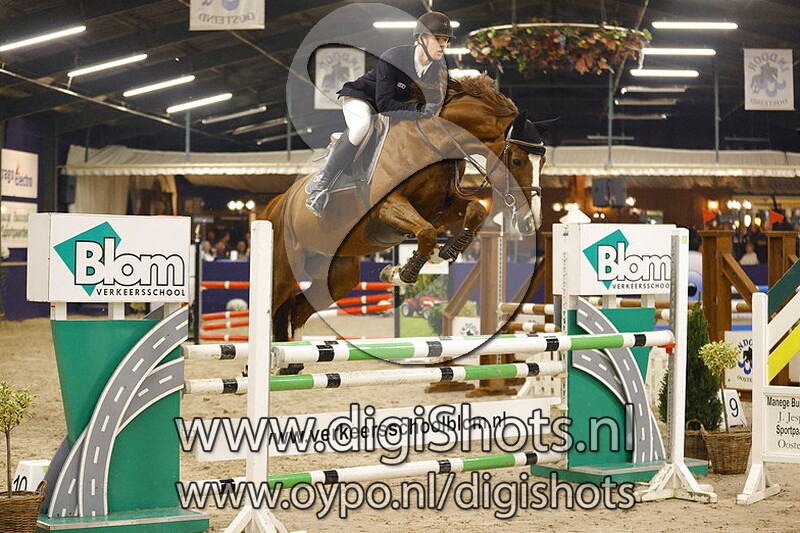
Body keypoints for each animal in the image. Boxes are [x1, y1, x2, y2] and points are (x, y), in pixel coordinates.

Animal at [259, 75, 547, 346]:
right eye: (517, 160)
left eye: (542, 162)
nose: (531, 221)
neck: (433, 143)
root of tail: (278, 203)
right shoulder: (387, 206)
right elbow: (427, 232)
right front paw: (401, 273)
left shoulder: (442, 206)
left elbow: (474, 211)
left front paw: (442, 254)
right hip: (284, 270)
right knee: (273, 306)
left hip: (338, 275)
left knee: (298, 310)